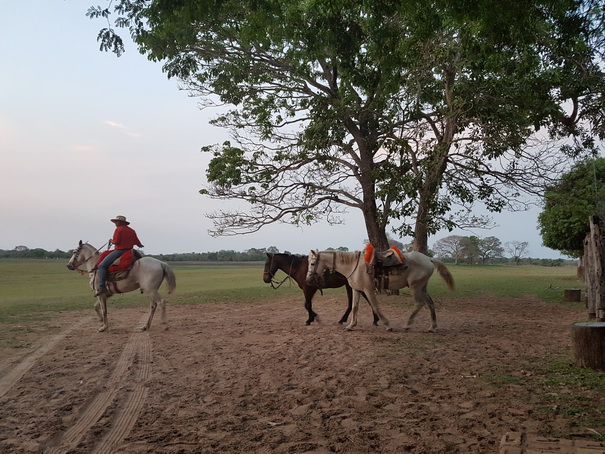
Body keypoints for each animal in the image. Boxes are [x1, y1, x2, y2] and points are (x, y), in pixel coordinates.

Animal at [306, 248, 452, 334]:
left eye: (312, 263)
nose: (308, 279)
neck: (354, 266)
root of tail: (428, 259)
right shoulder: (356, 290)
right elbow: (354, 307)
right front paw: (351, 326)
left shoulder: (369, 290)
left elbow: (375, 306)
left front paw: (387, 325)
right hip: (422, 287)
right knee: (430, 303)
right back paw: (432, 327)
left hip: (415, 287)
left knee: (419, 303)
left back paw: (407, 324)